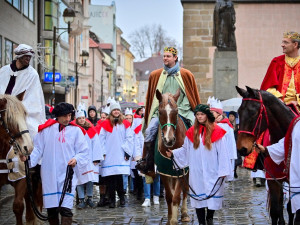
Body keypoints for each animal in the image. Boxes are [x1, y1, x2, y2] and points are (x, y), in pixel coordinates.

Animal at [155, 89, 190, 225]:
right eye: (160, 112)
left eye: (176, 112)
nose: (169, 140)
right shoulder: (164, 172)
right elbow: (169, 197)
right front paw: (170, 218)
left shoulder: (181, 171)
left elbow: (176, 196)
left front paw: (174, 220)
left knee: (185, 190)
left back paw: (184, 214)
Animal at [236, 86, 294, 225]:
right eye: (239, 112)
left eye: (253, 113)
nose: (242, 149)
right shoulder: (273, 179)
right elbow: (275, 210)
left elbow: (290, 208)